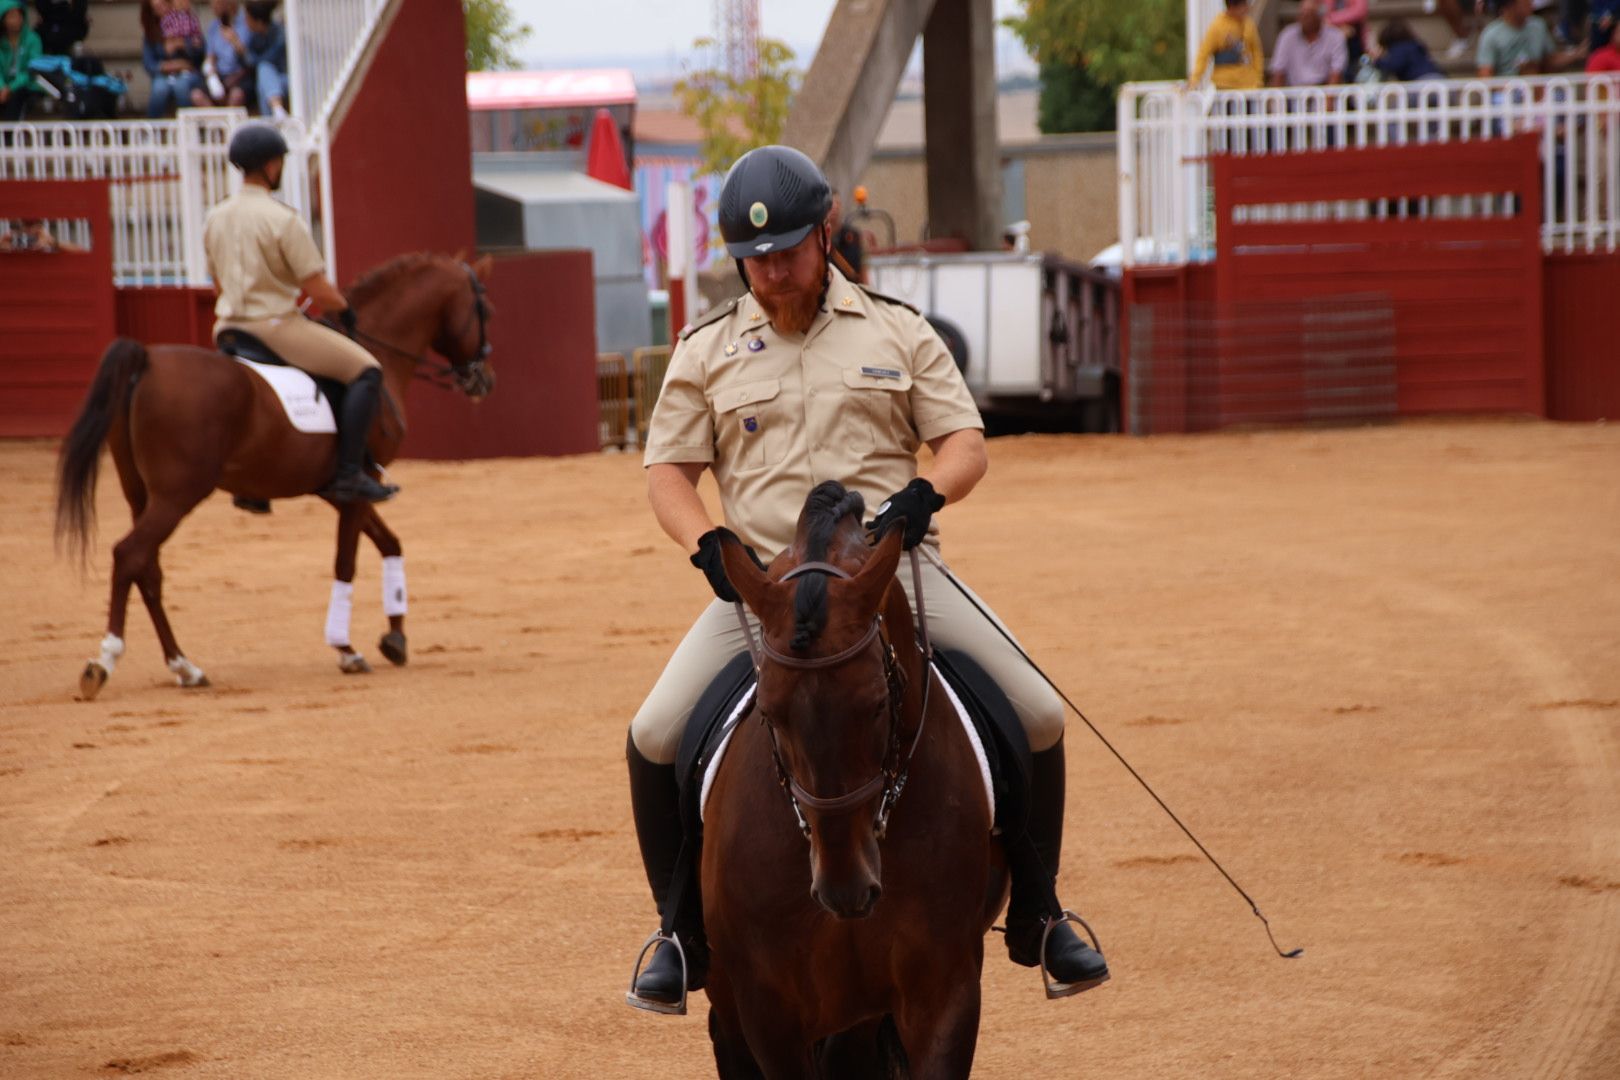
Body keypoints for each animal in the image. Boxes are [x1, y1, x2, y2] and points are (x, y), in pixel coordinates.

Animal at [53, 250, 495, 702]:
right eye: (486, 311)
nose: (483, 379)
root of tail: (148, 360)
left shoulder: (341, 490)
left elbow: (391, 543)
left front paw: (395, 637)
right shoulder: (357, 487)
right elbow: (346, 562)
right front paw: (346, 650)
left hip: (140, 494)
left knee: (147, 567)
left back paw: (185, 667)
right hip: (178, 495)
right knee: (130, 555)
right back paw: (103, 663)